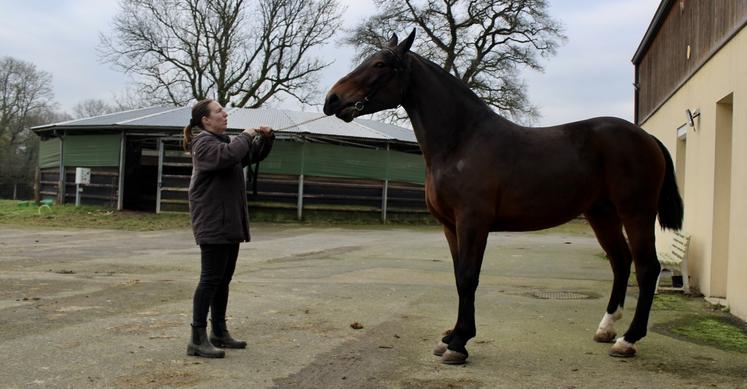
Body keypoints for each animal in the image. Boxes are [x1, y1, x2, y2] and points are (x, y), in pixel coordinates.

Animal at [322, 29, 684, 364]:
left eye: (380, 64)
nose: (332, 100)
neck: (462, 141)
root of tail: (646, 137)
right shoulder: (450, 226)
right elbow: (459, 276)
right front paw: (451, 336)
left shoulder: (473, 222)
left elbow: (468, 277)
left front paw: (459, 344)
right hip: (601, 213)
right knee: (620, 261)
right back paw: (607, 329)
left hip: (636, 212)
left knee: (647, 267)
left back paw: (628, 340)